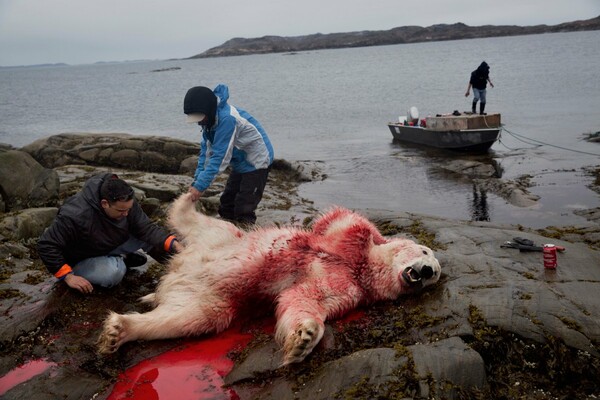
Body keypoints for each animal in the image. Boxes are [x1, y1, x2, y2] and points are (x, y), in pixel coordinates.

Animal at [97, 194, 440, 366]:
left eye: (435, 275)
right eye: (426, 251)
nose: (427, 271)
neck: (362, 269)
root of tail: (179, 269)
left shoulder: (349, 289)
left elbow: (303, 299)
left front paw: (304, 340)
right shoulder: (349, 245)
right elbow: (345, 222)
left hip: (210, 296)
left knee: (191, 318)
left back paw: (118, 332)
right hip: (222, 236)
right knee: (198, 221)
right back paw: (190, 198)